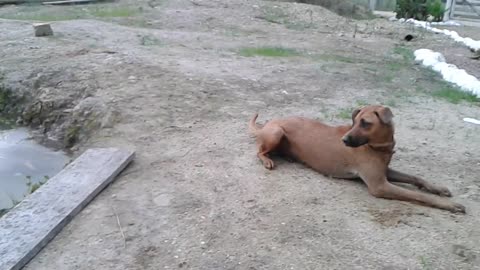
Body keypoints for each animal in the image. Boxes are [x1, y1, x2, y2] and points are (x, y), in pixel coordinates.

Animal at [249, 105, 466, 213]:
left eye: (365, 123)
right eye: (355, 121)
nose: (344, 140)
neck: (379, 147)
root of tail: (266, 124)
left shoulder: (385, 173)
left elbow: (415, 178)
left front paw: (438, 188)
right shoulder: (379, 185)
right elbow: (418, 195)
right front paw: (449, 205)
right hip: (276, 133)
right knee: (259, 151)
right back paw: (267, 160)